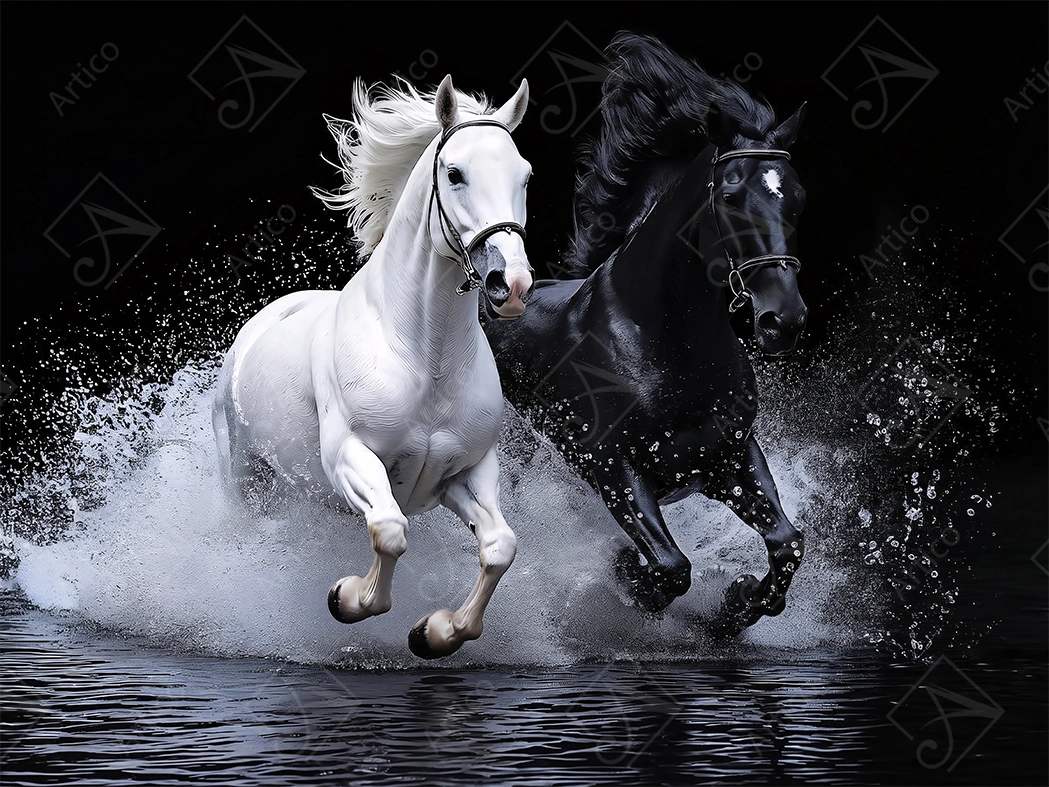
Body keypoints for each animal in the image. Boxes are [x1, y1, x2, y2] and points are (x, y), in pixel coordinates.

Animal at [212, 75, 536, 659]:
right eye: (455, 173)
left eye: (523, 175)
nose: (512, 284)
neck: (425, 359)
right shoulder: (351, 456)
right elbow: (389, 529)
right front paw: (347, 599)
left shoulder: (467, 471)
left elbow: (501, 546)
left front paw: (436, 633)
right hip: (244, 480)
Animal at [482, 33, 809, 635]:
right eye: (731, 196)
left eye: (797, 197)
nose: (784, 320)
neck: (667, 339)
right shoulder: (615, 466)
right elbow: (670, 566)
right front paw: (626, 575)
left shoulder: (729, 456)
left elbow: (787, 542)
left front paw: (734, 608)